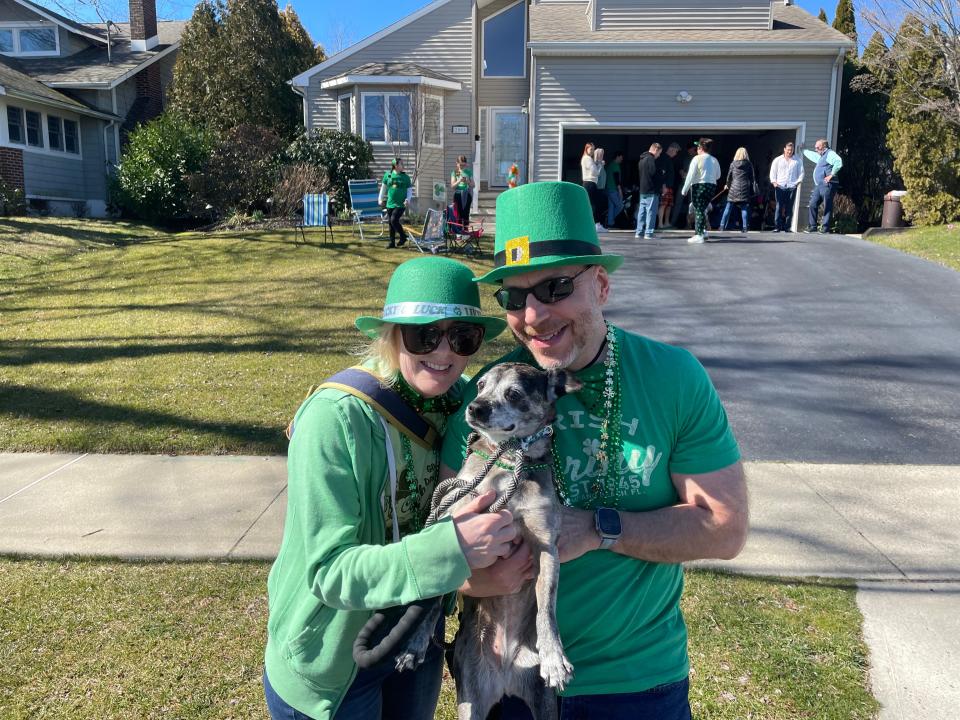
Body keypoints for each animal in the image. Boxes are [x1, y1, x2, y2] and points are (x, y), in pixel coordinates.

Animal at [444, 362, 580, 720]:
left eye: (514, 394)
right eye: (480, 385)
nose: (475, 407)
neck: (509, 461)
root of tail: (504, 675)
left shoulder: (547, 547)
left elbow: (547, 606)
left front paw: (554, 656)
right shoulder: (456, 521)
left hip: (543, 704)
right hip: (470, 701)